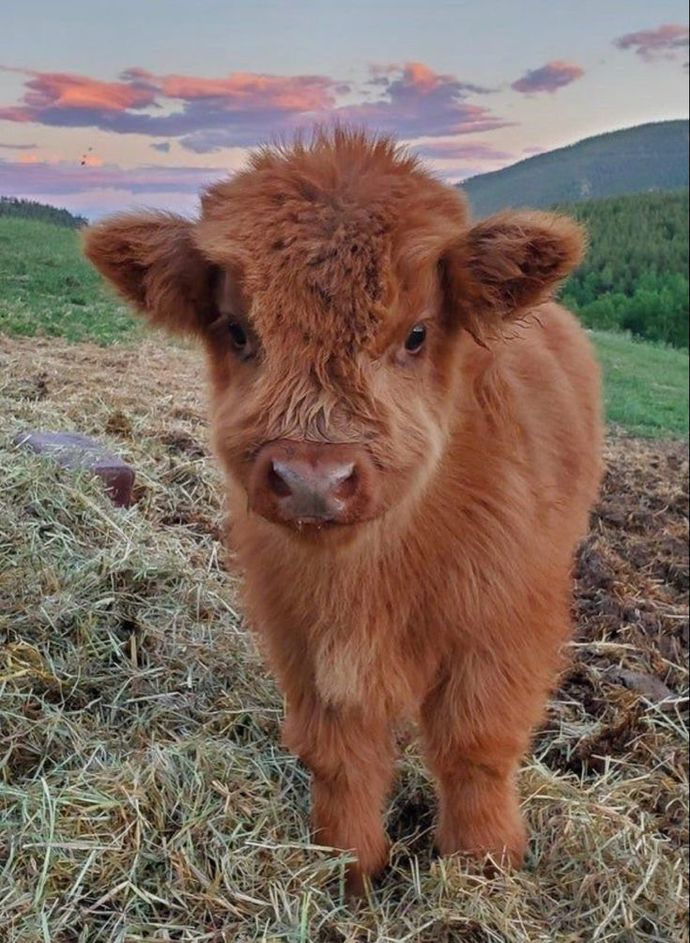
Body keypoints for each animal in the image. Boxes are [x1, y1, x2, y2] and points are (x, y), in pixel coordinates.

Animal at [84, 127, 603, 895]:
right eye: (236, 329)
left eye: (416, 334)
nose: (312, 479)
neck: (372, 575)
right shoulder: (301, 632)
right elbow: (340, 752)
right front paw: (349, 867)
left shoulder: (503, 624)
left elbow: (476, 743)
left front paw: (483, 866)